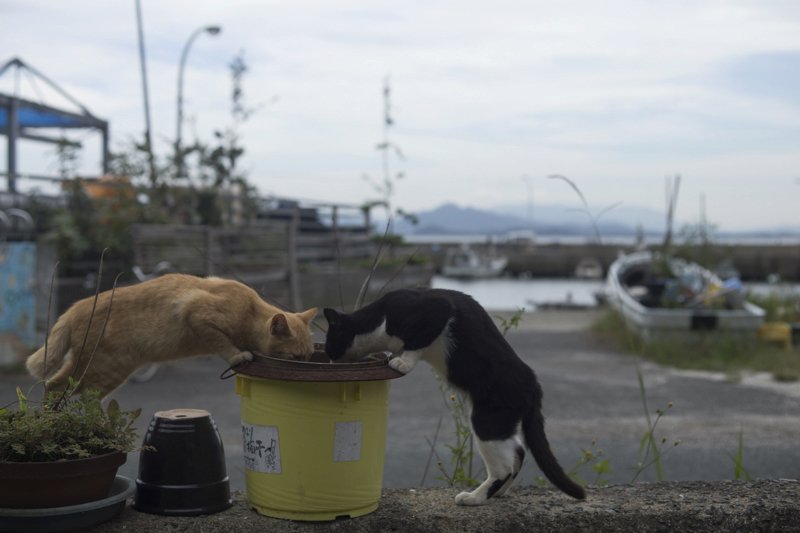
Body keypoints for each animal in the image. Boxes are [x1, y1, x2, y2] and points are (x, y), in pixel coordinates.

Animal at [26, 274, 318, 394]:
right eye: (296, 357)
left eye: (308, 356)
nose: (306, 366)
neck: (250, 310)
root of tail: (75, 308)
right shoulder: (195, 312)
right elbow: (222, 343)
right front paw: (237, 355)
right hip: (100, 369)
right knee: (54, 386)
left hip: (100, 374)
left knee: (63, 389)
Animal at [324, 286, 588, 502]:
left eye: (328, 344)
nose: (328, 360)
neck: (379, 321)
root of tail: (533, 385)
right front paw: (393, 356)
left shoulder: (435, 309)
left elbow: (415, 343)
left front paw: (401, 362)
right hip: (501, 422)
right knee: (518, 453)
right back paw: (499, 493)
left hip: (487, 420)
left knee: (503, 467)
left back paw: (475, 497)